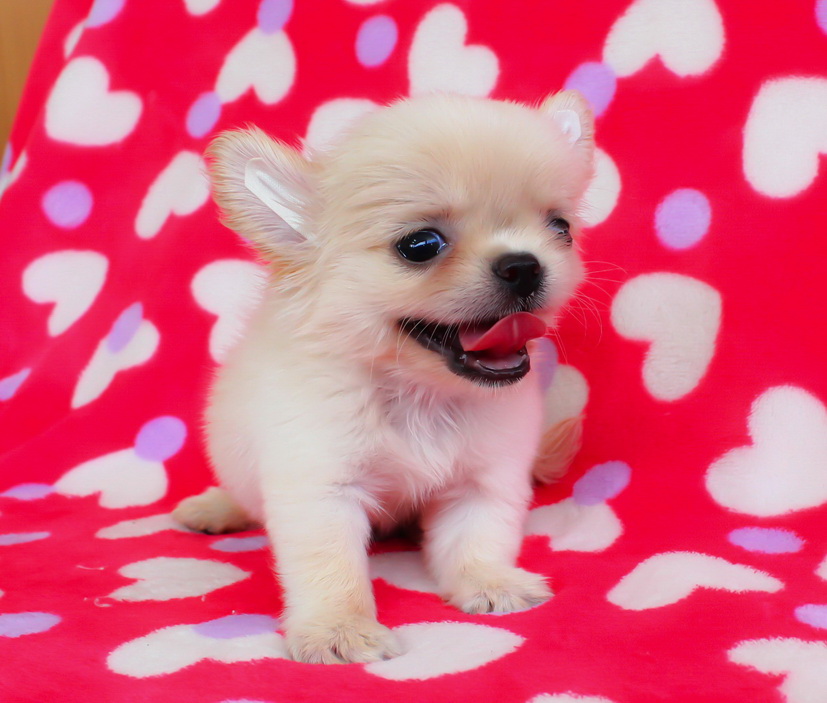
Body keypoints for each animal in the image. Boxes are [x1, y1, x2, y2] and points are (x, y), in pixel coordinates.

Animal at [173, 91, 594, 664]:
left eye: (561, 229)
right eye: (420, 245)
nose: (524, 266)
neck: (419, 396)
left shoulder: (483, 482)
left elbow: (478, 538)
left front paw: (491, 582)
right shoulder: (321, 488)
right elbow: (331, 569)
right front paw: (339, 629)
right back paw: (215, 507)